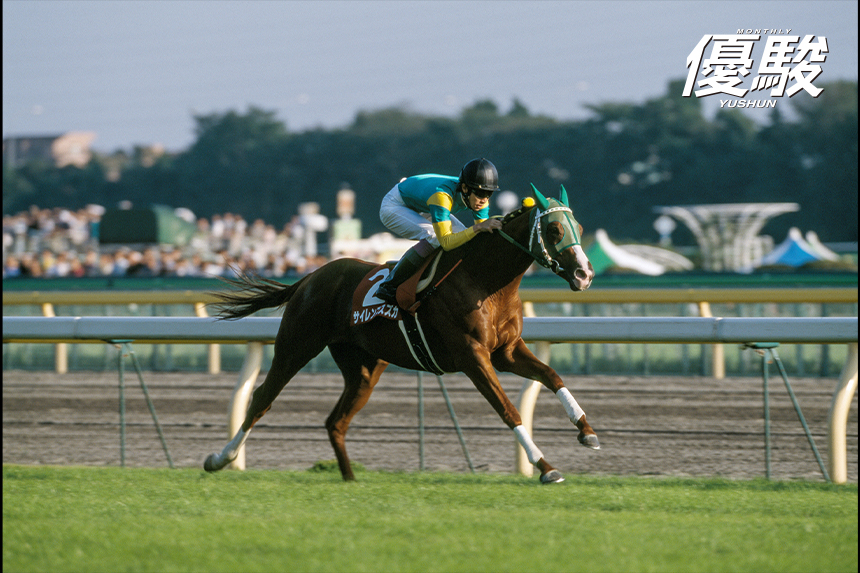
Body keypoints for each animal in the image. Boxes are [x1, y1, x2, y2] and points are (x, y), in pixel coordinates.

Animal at [204, 183, 598, 484]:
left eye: (579, 226)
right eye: (554, 230)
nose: (585, 274)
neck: (485, 282)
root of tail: (310, 277)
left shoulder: (507, 351)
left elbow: (552, 375)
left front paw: (587, 431)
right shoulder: (472, 356)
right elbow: (509, 410)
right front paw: (546, 467)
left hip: (364, 369)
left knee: (336, 421)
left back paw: (350, 479)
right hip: (295, 345)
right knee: (261, 398)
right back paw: (220, 458)